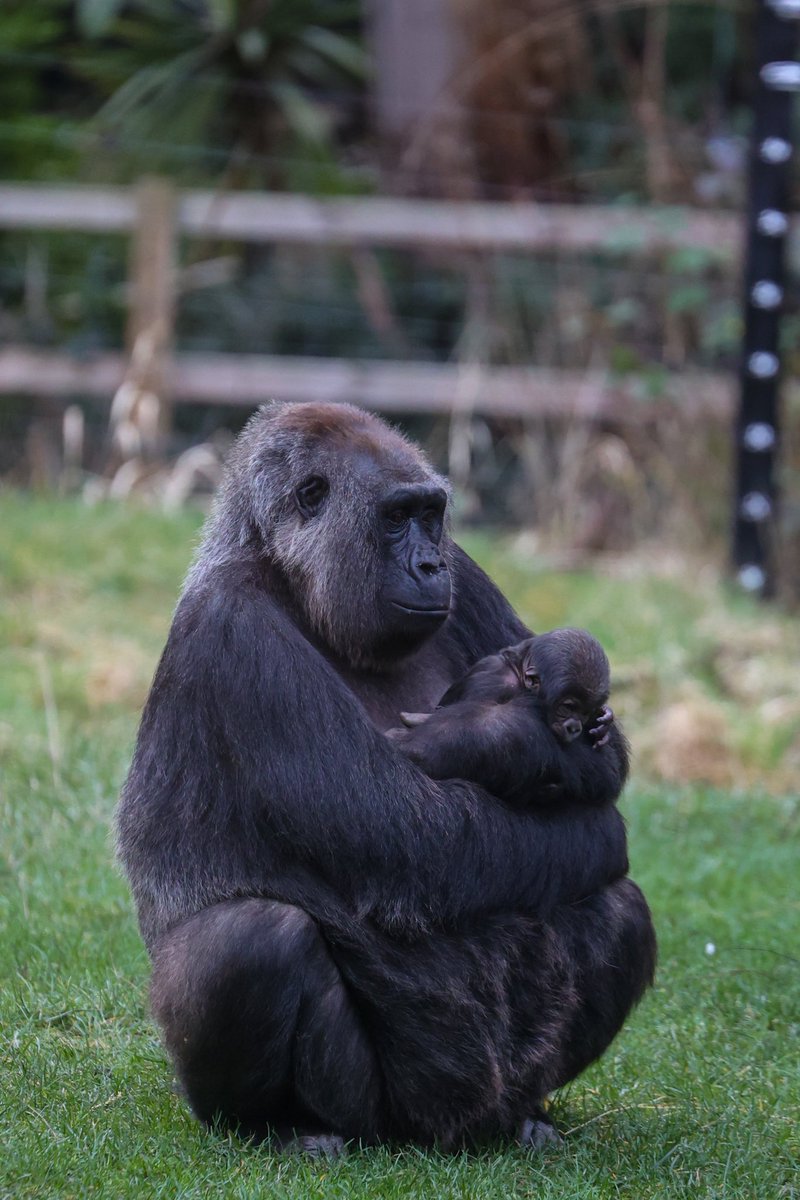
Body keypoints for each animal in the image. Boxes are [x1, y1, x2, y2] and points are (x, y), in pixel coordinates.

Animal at [388, 628, 623, 806]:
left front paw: (604, 722)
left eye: (585, 712)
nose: (575, 727)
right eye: (568, 707)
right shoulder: (489, 685)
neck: (519, 674)